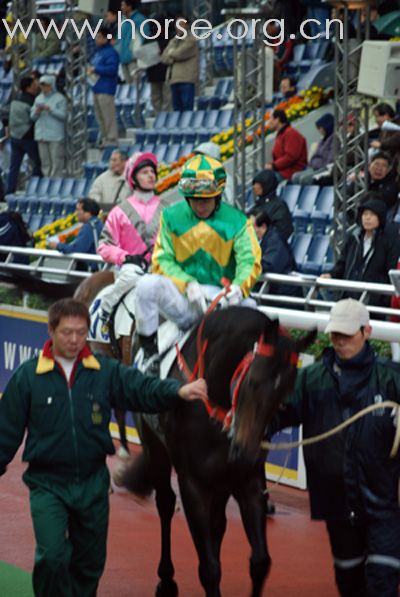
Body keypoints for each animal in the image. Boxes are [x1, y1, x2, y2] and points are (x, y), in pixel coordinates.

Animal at [118, 304, 316, 596]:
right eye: (253, 381)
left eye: (284, 397)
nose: (245, 452)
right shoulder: (193, 483)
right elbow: (209, 568)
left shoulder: (247, 479)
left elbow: (260, 561)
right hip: (155, 446)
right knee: (165, 503)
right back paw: (166, 580)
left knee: (218, 522)